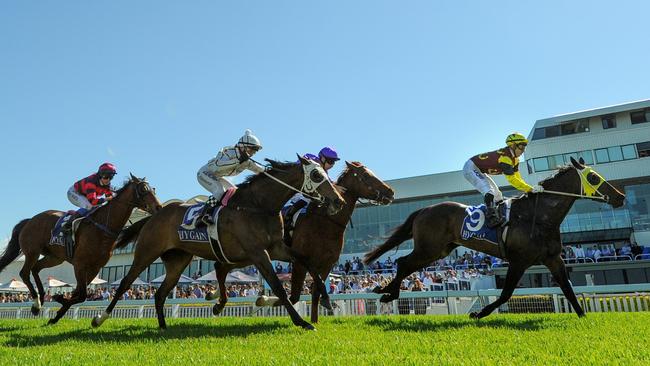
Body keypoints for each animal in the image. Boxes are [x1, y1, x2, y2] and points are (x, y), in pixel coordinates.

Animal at [0, 174, 161, 324]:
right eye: (143, 189)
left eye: (153, 189)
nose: (159, 207)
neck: (103, 227)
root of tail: (29, 220)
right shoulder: (79, 264)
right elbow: (81, 295)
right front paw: (58, 299)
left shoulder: (95, 268)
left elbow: (77, 294)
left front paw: (56, 312)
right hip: (33, 251)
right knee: (24, 273)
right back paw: (36, 304)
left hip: (54, 257)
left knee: (36, 269)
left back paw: (41, 298)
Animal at [92, 157, 344, 332]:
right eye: (316, 175)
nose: (338, 200)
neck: (258, 205)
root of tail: (154, 215)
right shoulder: (258, 252)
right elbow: (278, 286)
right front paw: (302, 322)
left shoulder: (276, 248)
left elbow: (305, 261)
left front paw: (326, 298)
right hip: (146, 252)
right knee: (125, 283)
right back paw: (100, 318)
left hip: (177, 261)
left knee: (161, 293)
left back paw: (163, 326)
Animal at [208, 162, 392, 322]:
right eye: (366, 175)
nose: (390, 192)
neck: (325, 222)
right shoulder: (300, 262)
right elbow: (295, 295)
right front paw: (265, 300)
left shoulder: (327, 263)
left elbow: (316, 291)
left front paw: (315, 318)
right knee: (222, 266)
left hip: (245, 255)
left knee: (222, 266)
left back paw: (214, 295)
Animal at [364, 159, 624, 318]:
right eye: (593, 178)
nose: (620, 197)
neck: (539, 216)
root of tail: (424, 209)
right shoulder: (519, 261)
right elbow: (506, 294)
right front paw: (478, 313)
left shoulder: (553, 258)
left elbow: (568, 288)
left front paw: (583, 317)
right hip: (429, 248)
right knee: (403, 263)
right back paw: (389, 293)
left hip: (439, 250)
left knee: (405, 265)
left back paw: (387, 291)